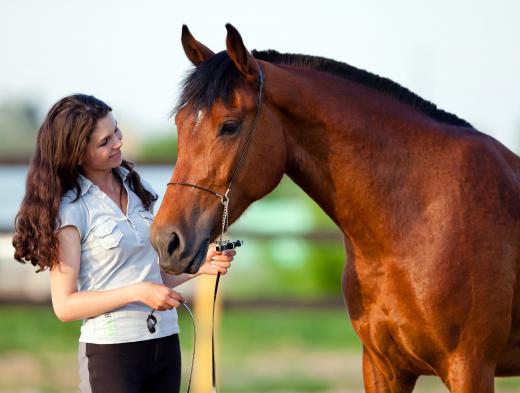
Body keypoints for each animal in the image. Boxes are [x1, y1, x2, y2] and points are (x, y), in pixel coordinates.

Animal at [150, 25, 520, 392]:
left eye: (229, 126)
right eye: (180, 123)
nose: (166, 241)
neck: (419, 218)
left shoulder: (470, 368)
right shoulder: (382, 367)